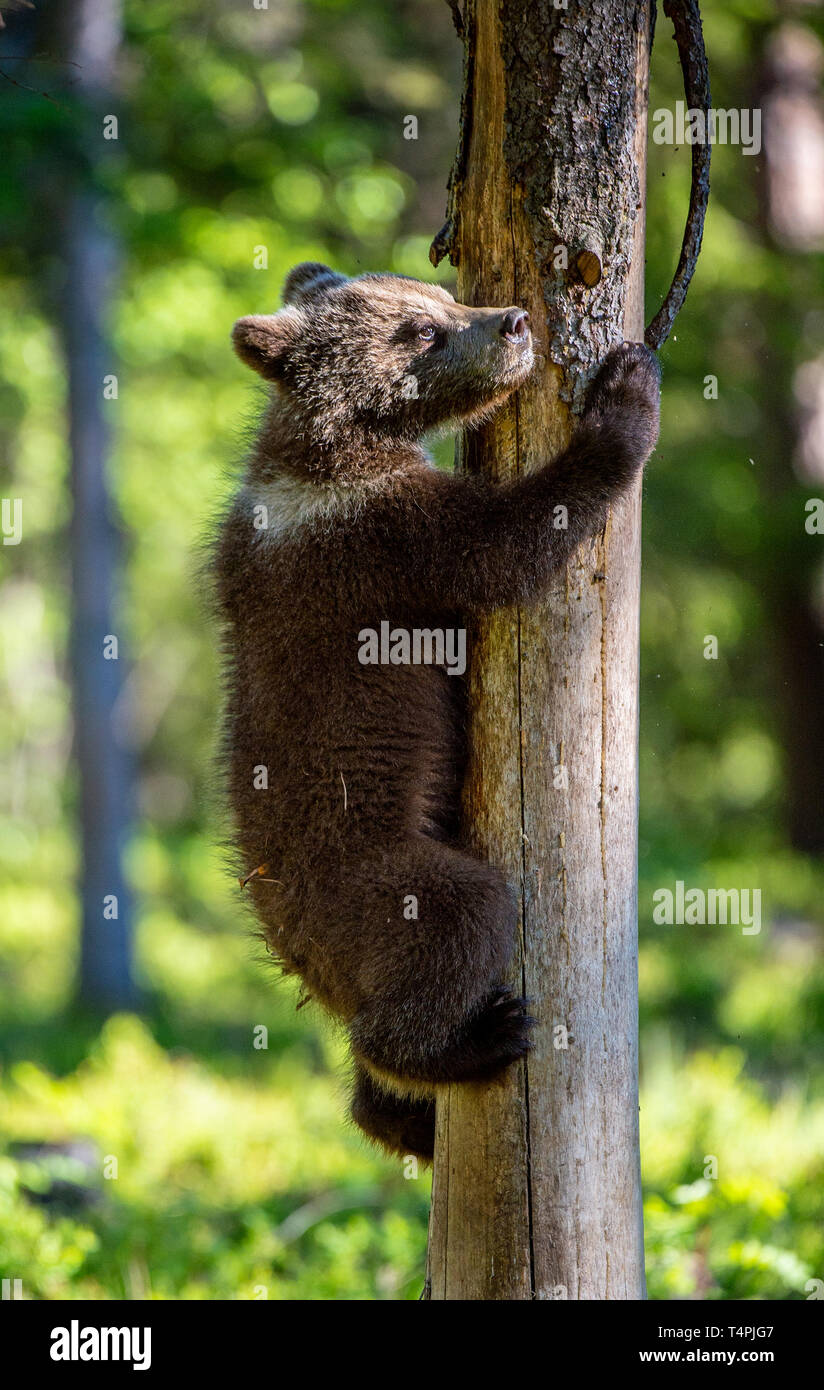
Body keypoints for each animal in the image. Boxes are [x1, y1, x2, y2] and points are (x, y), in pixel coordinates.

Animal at [212, 262, 660, 1162]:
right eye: (419, 331)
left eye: (443, 296)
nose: (514, 320)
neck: (336, 452)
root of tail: (295, 953)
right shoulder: (387, 540)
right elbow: (508, 545)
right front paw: (626, 396)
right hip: (375, 880)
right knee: (462, 916)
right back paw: (469, 1040)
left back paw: (399, 1114)